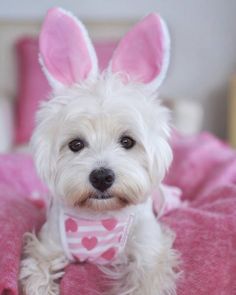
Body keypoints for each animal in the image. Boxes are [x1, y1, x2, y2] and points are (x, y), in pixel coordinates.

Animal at [19, 7, 179, 295]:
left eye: (127, 141)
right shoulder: (48, 244)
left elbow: (146, 278)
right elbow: (37, 271)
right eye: (76, 144)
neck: (99, 216)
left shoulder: (149, 250)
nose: (102, 177)